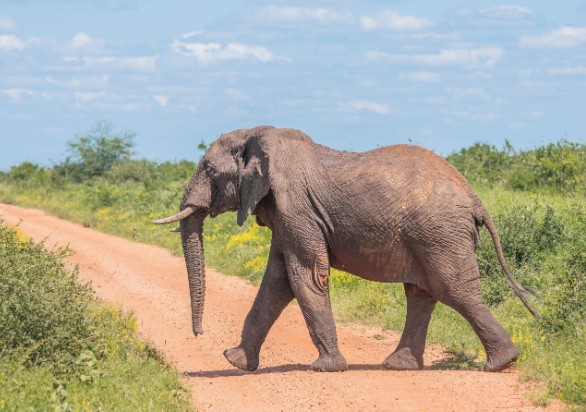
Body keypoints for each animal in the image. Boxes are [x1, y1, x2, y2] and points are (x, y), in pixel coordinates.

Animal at [153, 125, 536, 374]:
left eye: (209, 170)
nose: (199, 334)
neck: (259, 135)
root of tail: (475, 198)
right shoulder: (288, 215)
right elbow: (276, 281)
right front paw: (234, 361)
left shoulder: (297, 208)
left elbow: (305, 276)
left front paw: (326, 369)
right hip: (433, 235)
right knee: (422, 293)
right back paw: (399, 366)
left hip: (440, 233)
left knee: (453, 289)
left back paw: (502, 363)